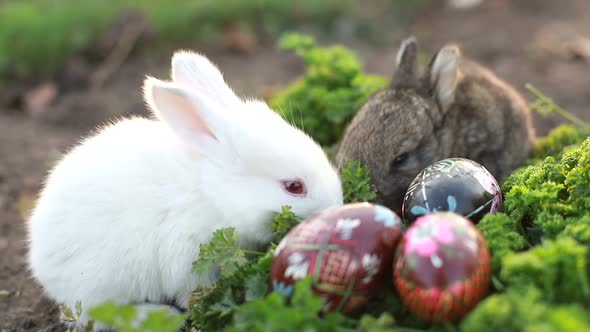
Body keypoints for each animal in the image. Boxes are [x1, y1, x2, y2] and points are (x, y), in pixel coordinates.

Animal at [27, 50, 344, 330]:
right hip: (102, 281)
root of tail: (40, 259)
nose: (337, 204)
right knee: (99, 315)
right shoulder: (187, 256)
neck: (214, 193)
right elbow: (192, 292)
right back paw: (162, 317)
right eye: (294, 187)